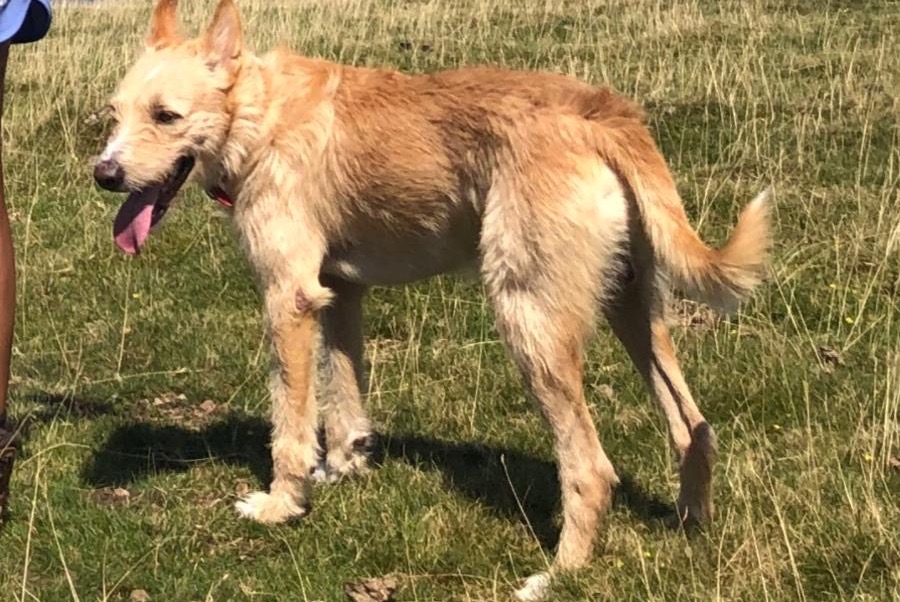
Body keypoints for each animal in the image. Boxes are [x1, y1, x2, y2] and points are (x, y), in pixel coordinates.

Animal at [95, 2, 768, 596]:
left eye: (166, 116)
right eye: (114, 115)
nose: (104, 174)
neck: (259, 114)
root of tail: (602, 114)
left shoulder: (289, 299)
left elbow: (290, 421)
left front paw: (284, 502)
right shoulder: (340, 293)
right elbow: (344, 397)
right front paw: (344, 467)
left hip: (529, 320)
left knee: (590, 468)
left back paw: (561, 574)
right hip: (634, 310)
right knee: (693, 427)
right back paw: (689, 523)